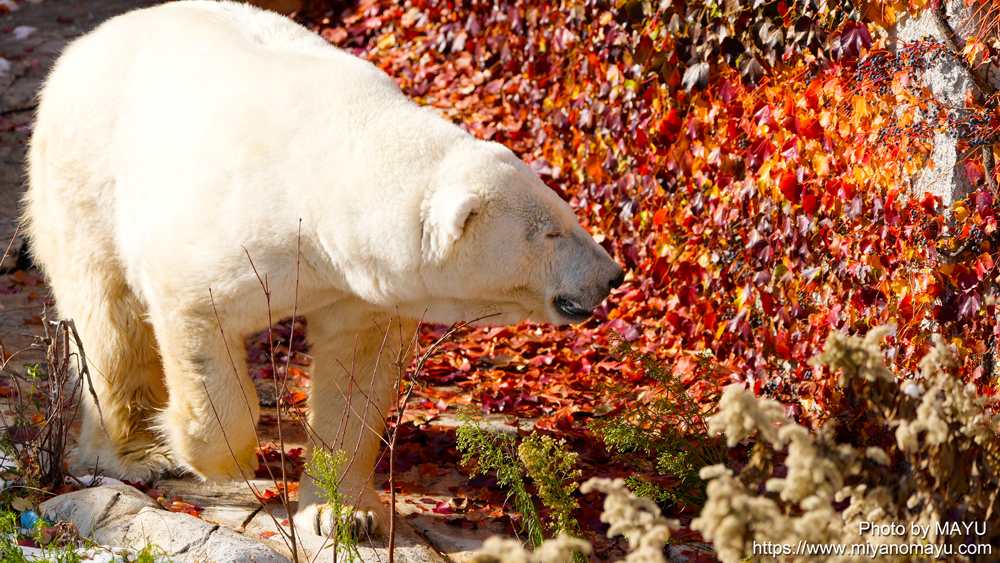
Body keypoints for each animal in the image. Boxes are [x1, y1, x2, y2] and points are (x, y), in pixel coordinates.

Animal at [23, 0, 620, 536]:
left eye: (567, 212)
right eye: (550, 232)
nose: (609, 276)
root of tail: (86, 44)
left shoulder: (355, 286)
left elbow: (354, 373)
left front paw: (345, 511)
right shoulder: (220, 231)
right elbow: (195, 319)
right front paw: (219, 459)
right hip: (85, 178)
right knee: (109, 319)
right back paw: (135, 453)